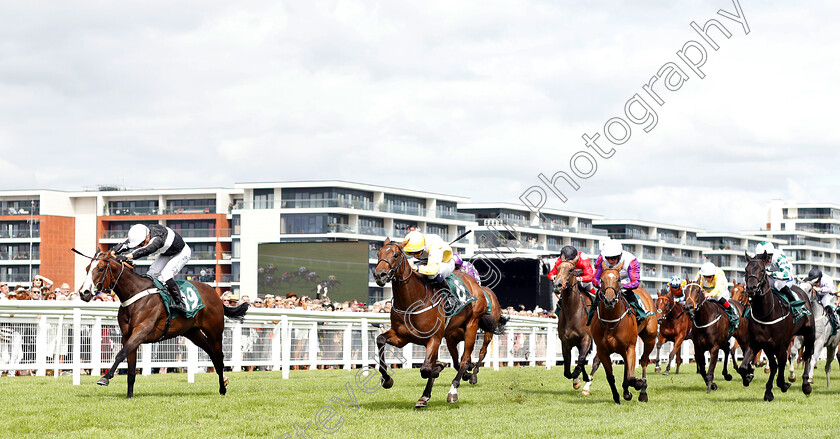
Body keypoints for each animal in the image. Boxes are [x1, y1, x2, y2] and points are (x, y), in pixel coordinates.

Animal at [76, 251, 248, 398]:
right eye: (87, 268)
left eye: (100, 269)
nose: (84, 293)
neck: (134, 294)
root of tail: (216, 295)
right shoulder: (127, 336)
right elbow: (130, 369)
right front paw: (129, 396)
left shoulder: (141, 331)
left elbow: (120, 353)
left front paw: (105, 377)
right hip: (192, 333)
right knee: (212, 353)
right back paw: (223, 381)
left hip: (214, 332)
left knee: (219, 357)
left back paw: (222, 389)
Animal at [374, 241, 506, 410]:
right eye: (378, 254)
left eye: (395, 255)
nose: (380, 275)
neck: (413, 301)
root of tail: (477, 287)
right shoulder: (402, 337)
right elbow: (380, 340)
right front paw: (388, 380)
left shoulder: (434, 338)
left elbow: (426, 369)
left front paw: (438, 370)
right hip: (451, 337)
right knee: (458, 361)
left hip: (473, 325)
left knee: (468, 358)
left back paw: (454, 389)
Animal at [556, 260, 600, 394]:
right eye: (558, 268)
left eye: (571, 270)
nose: (557, 284)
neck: (573, 311)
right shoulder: (566, 342)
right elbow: (567, 369)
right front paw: (576, 380)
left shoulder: (586, 339)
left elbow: (580, 360)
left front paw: (581, 376)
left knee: (596, 361)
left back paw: (587, 385)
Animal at [588, 262, 660, 404]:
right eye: (601, 280)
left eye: (618, 279)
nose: (609, 300)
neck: (611, 323)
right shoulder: (602, 350)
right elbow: (610, 376)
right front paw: (617, 396)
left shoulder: (629, 347)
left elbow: (632, 377)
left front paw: (639, 384)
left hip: (649, 338)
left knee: (644, 361)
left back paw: (643, 391)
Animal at [740, 253, 816, 400]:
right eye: (746, 269)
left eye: (762, 270)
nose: (751, 288)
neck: (766, 313)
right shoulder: (758, 343)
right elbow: (744, 367)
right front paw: (748, 378)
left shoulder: (781, 345)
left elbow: (781, 368)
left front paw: (784, 384)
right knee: (776, 365)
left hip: (809, 333)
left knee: (807, 356)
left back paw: (806, 385)